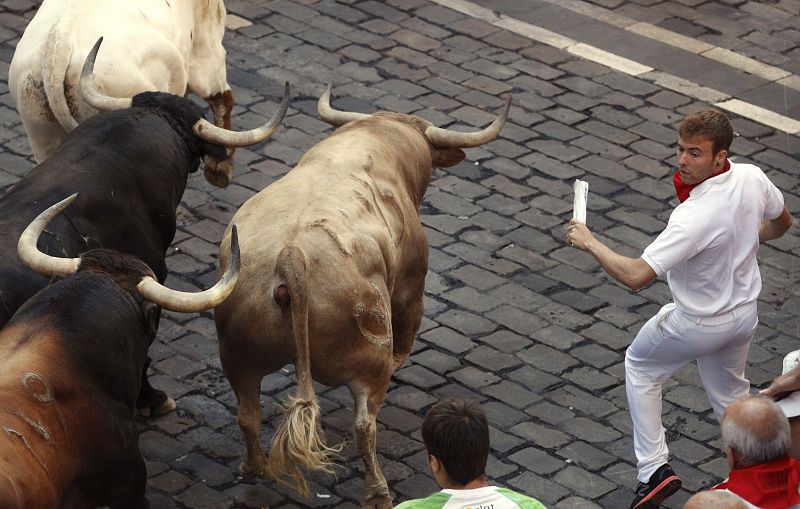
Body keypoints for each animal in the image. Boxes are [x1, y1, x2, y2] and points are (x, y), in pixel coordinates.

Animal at [212, 87, 510, 508]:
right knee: (364, 426)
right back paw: (378, 491)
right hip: (369, 360)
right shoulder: (411, 281)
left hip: (239, 356)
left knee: (247, 415)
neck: (375, 139)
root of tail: (292, 257)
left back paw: (254, 467)